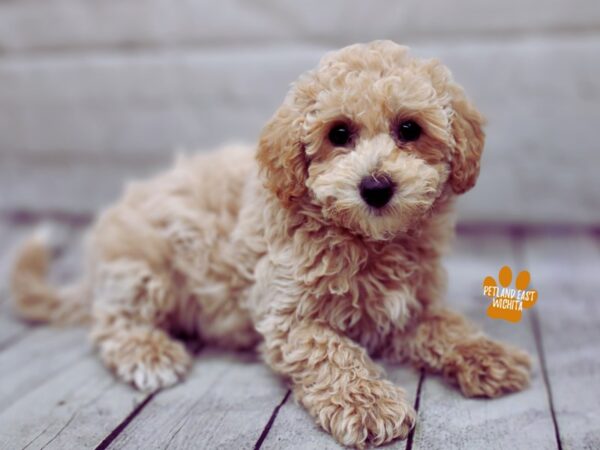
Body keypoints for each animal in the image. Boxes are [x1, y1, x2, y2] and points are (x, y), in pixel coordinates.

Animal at [11, 41, 528, 446]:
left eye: (409, 130)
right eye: (339, 133)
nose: (376, 187)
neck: (368, 240)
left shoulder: (409, 304)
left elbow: (447, 325)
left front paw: (489, 356)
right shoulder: (289, 315)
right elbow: (333, 353)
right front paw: (370, 404)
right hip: (143, 270)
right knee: (111, 322)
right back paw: (148, 352)